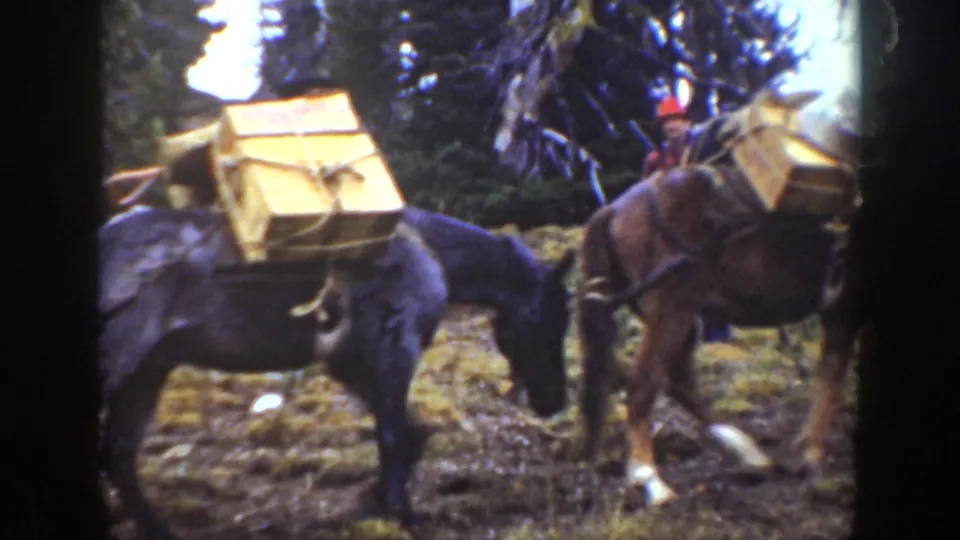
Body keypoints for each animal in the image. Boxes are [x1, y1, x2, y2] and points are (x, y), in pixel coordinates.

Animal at [98, 206, 574, 540]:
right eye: (549, 318)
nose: (554, 401)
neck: (427, 252)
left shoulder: (352, 365)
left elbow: (412, 435)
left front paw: (374, 501)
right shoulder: (393, 354)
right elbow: (394, 436)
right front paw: (403, 515)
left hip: (146, 373)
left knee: (120, 455)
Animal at [575, 106, 863, 506]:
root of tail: (615, 209)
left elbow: (828, 374)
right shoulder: (844, 308)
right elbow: (831, 376)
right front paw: (811, 455)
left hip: (680, 317)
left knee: (678, 381)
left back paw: (747, 453)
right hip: (671, 313)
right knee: (645, 385)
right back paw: (650, 477)